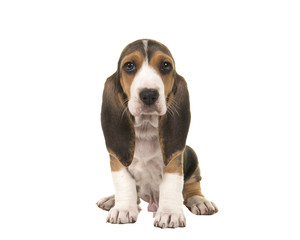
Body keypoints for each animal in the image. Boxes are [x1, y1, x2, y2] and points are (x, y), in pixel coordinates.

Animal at [97, 38, 217, 228]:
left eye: (166, 65)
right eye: (129, 65)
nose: (149, 95)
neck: (146, 127)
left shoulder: (174, 157)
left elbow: (171, 183)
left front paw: (169, 213)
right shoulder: (117, 158)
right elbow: (124, 182)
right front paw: (123, 209)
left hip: (191, 153)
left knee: (192, 186)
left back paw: (200, 201)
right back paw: (113, 200)